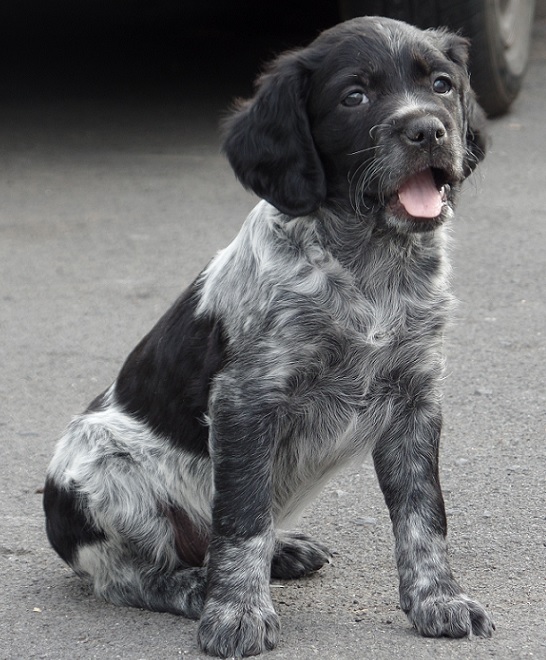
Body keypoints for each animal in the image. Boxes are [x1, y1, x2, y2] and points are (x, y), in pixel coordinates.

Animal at [44, 18, 490, 656]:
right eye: (354, 97)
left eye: (442, 84)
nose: (428, 129)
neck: (371, 265)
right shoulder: (246, 401)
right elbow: (242, 519)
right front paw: (234, 614)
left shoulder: (415, 399)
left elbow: (423, 516)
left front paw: (438, 600)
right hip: (105, 471)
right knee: (129, 574)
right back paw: (192, 587)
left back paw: (282, 551)